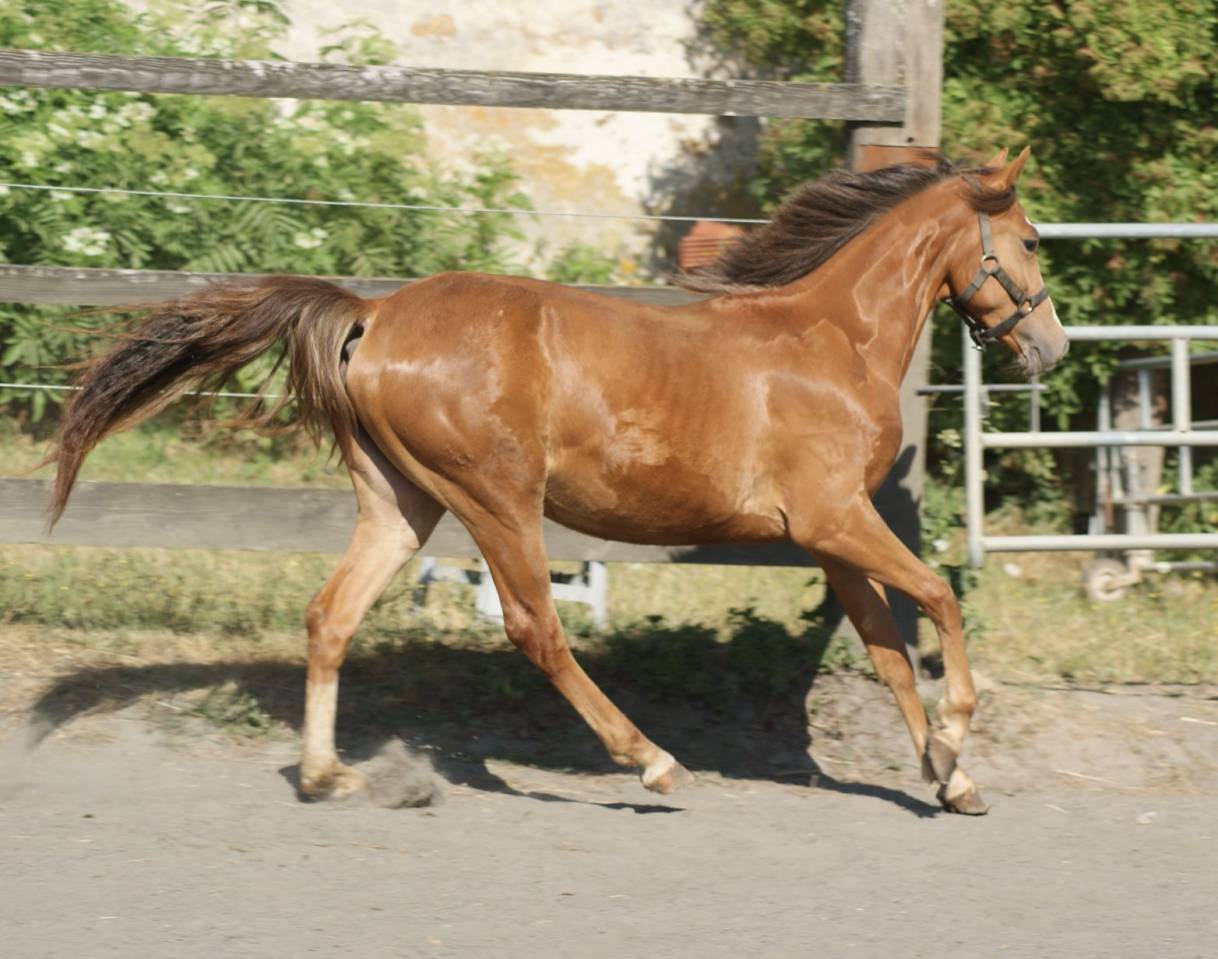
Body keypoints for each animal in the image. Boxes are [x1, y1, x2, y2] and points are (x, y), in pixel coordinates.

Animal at [45, 147, 1067, 815]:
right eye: (1027, 240)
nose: (1051, 348)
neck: (831, 339)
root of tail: (373, 315)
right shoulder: (835, 518)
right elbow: (939, 598)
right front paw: (956, 741)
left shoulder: (831, 536)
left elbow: (889, 650)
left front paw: (952, 777)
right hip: (496, 498)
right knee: (535, 627)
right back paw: (650, 761)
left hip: (402, 503)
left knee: (331, 615)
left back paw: (329, 774)